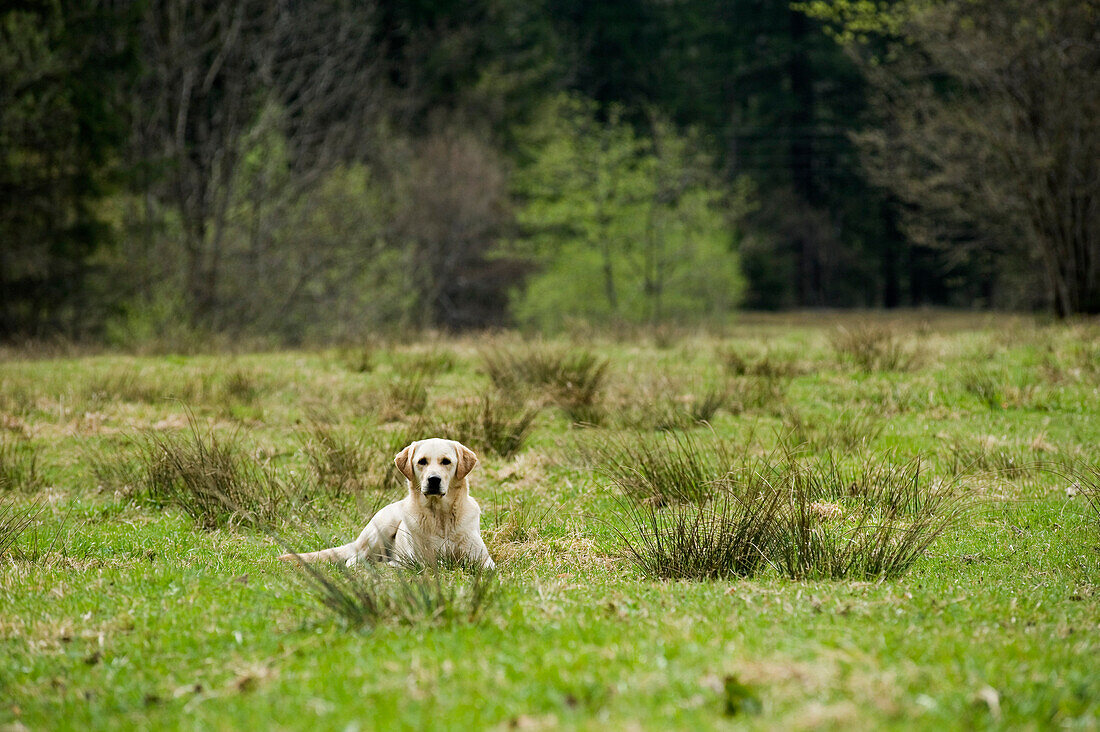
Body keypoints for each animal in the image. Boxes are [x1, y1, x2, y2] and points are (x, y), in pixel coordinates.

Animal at [277, 435, 497, 567]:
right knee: (354, 561)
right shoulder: (417, 561)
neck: (440, 517)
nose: (433, 480)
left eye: (446, 461)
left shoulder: (484, 560)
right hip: (382, 526)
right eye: (422, 461)